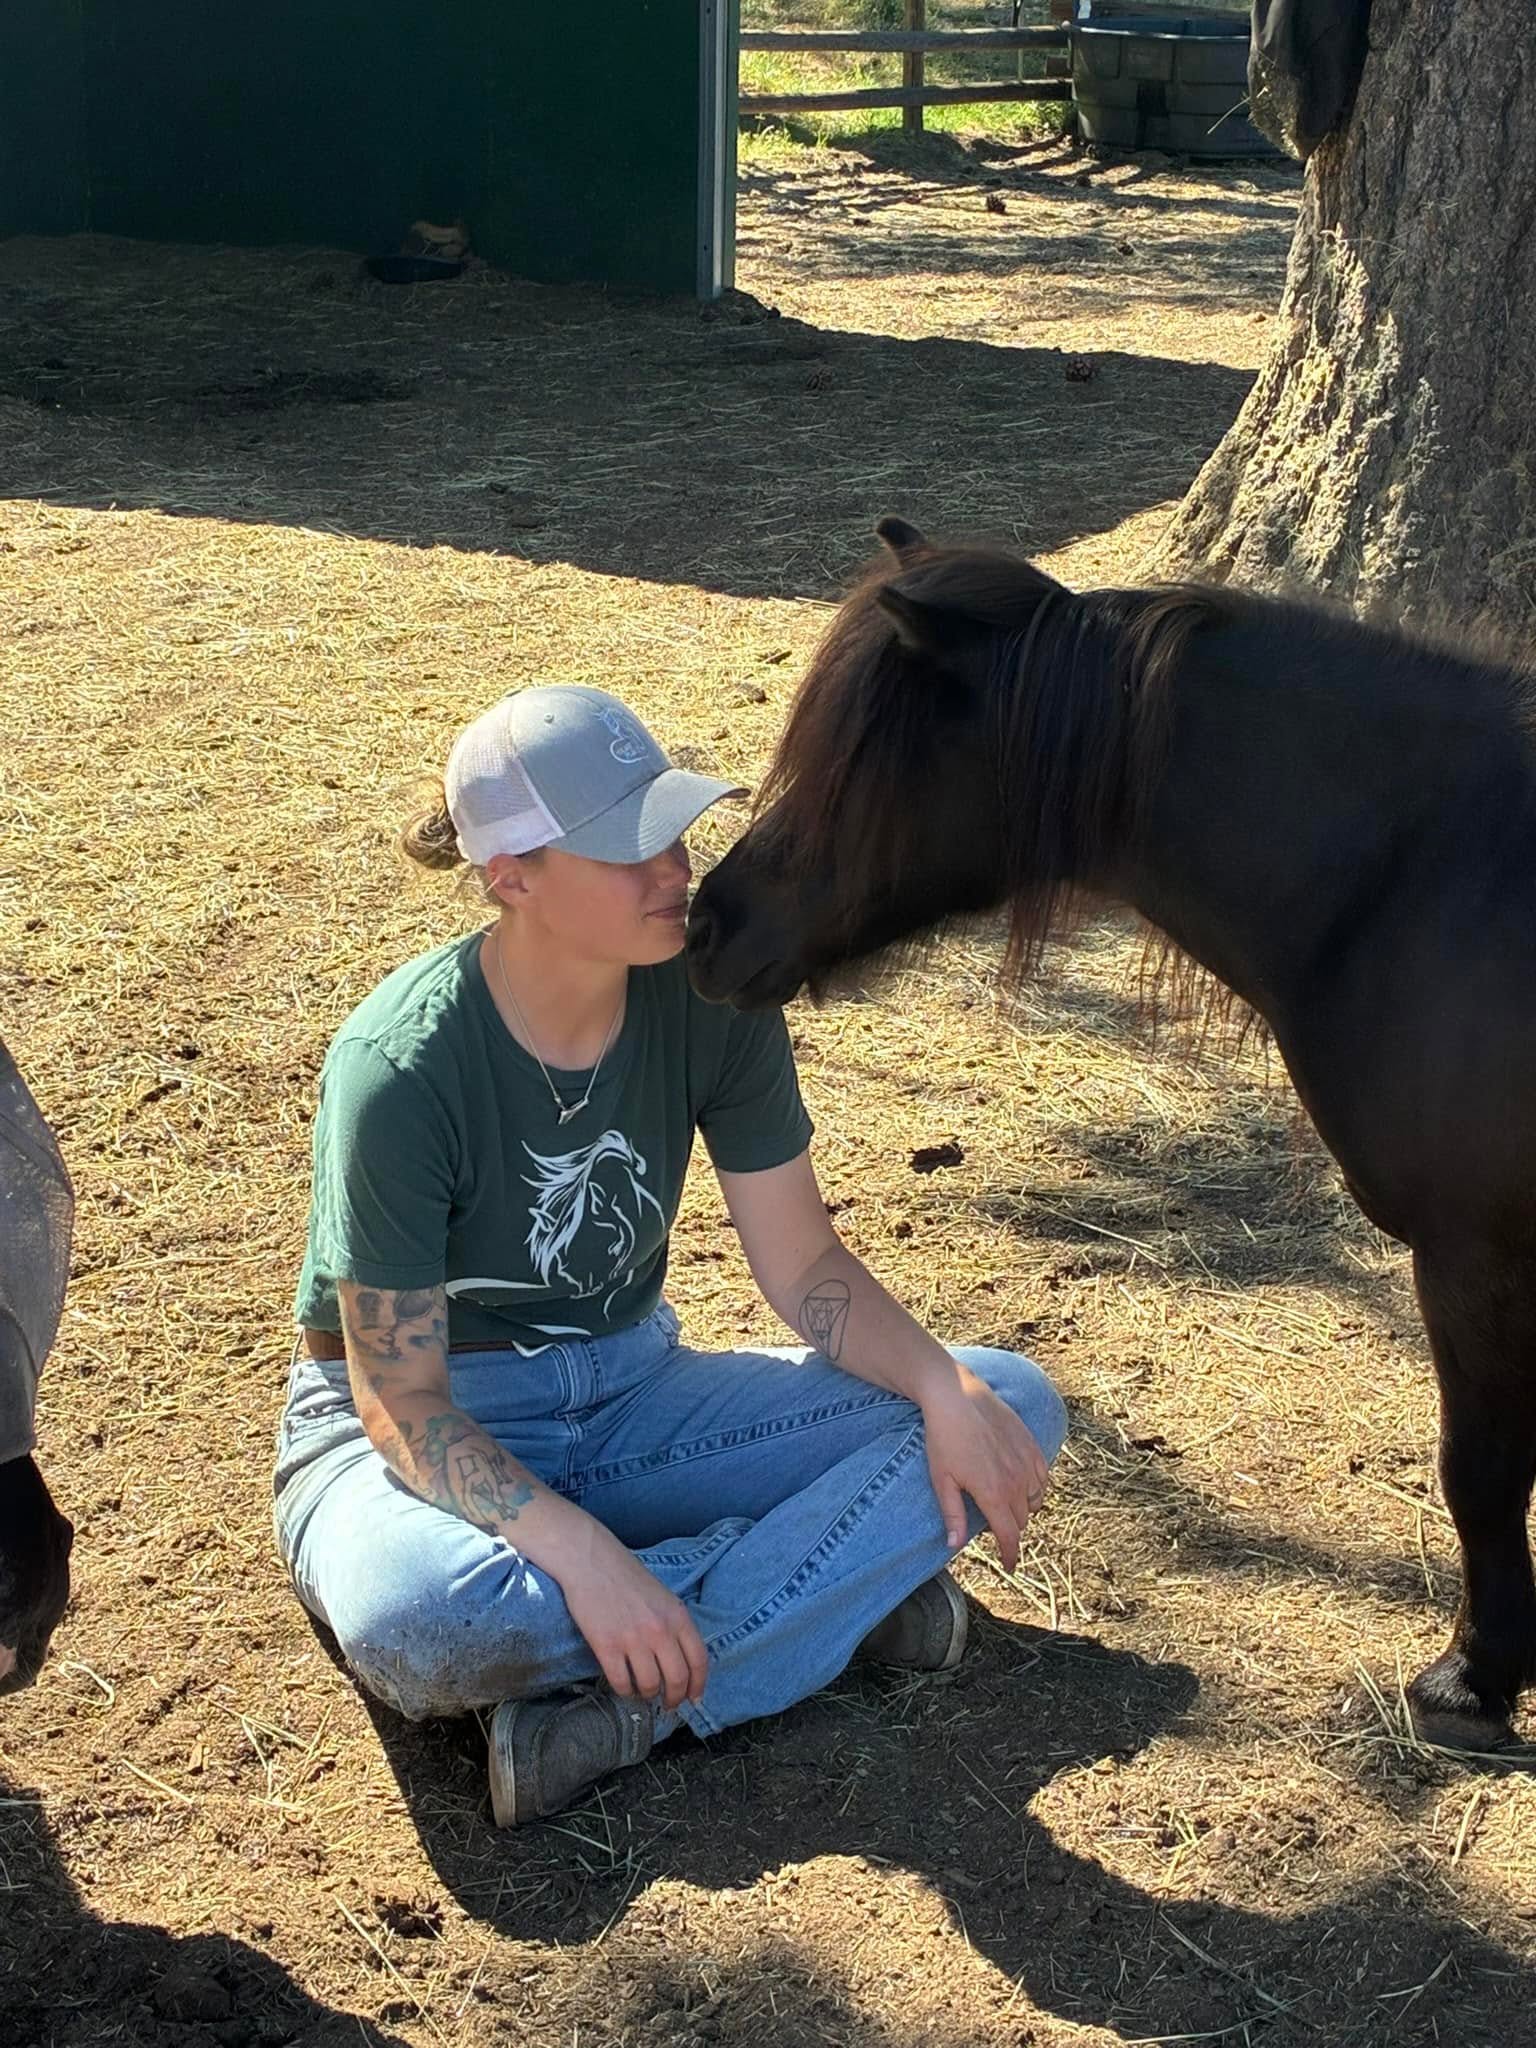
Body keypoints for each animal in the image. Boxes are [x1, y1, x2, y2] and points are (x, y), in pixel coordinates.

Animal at [687, 517, 1536, 1751]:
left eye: (862, 760)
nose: (709, 923)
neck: (1426, 873)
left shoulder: (1474, 1256)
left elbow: (1482, 1467)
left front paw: (1473, 1676)